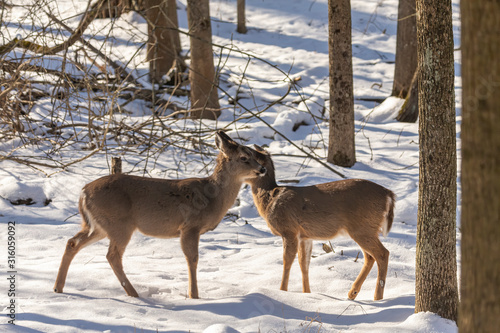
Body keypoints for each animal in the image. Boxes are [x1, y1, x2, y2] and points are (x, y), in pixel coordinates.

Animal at [53, 131, 268, 296]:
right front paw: (194, 295)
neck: (213, 198)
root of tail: (83, 193)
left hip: (98, 225)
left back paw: (58, 288)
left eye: (254, 155)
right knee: (112, 255)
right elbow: (193, 259)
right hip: (119, 224)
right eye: (243, 158)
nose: (262, 169)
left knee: (72, 242)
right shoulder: (190, 226)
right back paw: (134, 293)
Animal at [246, 147, 394, 300]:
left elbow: (287, 260)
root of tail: (389, 195)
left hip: (363, 228)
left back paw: (377, 297)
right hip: (365, 229)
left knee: (382, 254)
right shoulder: (305, 236)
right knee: (370, 257)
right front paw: (307, 293)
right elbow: (304, 263)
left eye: (247, 156)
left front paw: (282, 291)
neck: (270, 199)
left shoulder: (289, 230)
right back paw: (352, 293)